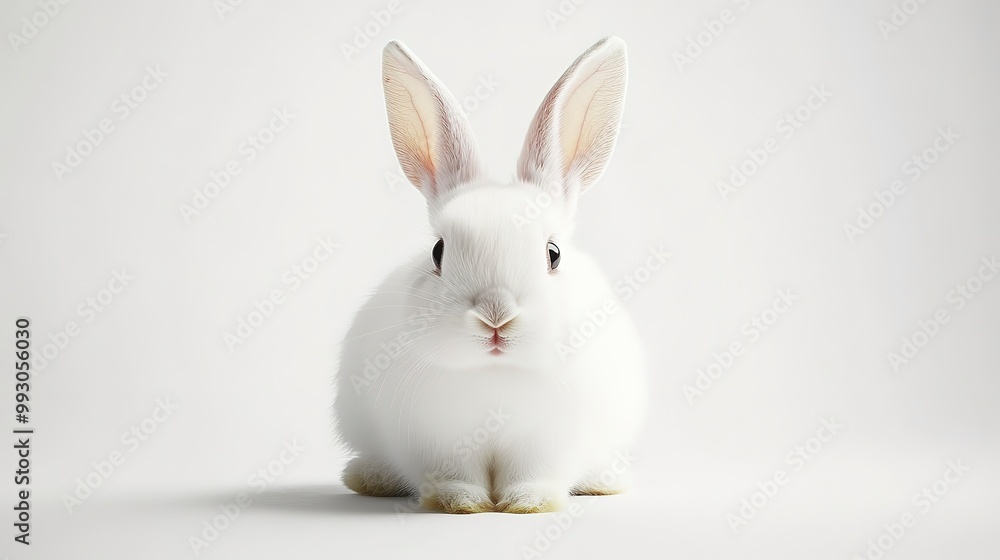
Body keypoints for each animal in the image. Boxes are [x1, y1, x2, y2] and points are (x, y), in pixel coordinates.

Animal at [333, 36, 646, 514]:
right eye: (438, 252)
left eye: (553, 254)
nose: (495, 317)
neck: (495, 375)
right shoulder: (436, 441)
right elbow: (454, 474)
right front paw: (458, 501)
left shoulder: (548, 442)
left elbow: (535, 474)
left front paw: (530, 503)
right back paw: (368, 478)